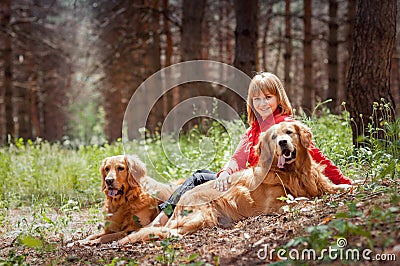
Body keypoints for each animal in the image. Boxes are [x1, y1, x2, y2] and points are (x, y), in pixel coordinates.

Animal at [117, 121, 348, 245]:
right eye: (274, 137)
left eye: (289, 132)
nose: (283, 143)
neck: (293, 172)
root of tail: (181, 200)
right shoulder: (274, 204)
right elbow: (299, 200)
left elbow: (338, 187)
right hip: (201, 215)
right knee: (171, 231)